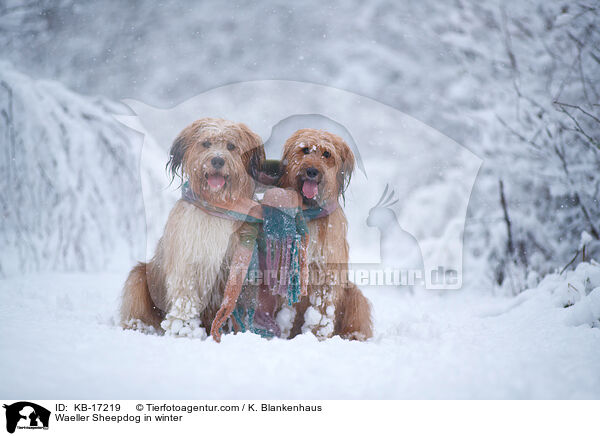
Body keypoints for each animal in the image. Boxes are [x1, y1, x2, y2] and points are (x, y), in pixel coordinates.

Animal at [120, 116, 264, 338]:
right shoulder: (187, 261)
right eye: (206, 143)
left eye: (231, 146)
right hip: (140, 277)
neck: (217, 205)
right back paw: (139, 327)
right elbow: (184, 296)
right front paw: (184, 330)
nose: (217, 160)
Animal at [276, 129, 370, 340]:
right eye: (305, 149)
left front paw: (315, 337)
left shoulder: (327, 272)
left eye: (327, 154)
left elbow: (320, 312)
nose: (312, 171)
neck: (309, 211)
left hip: (354, 294)